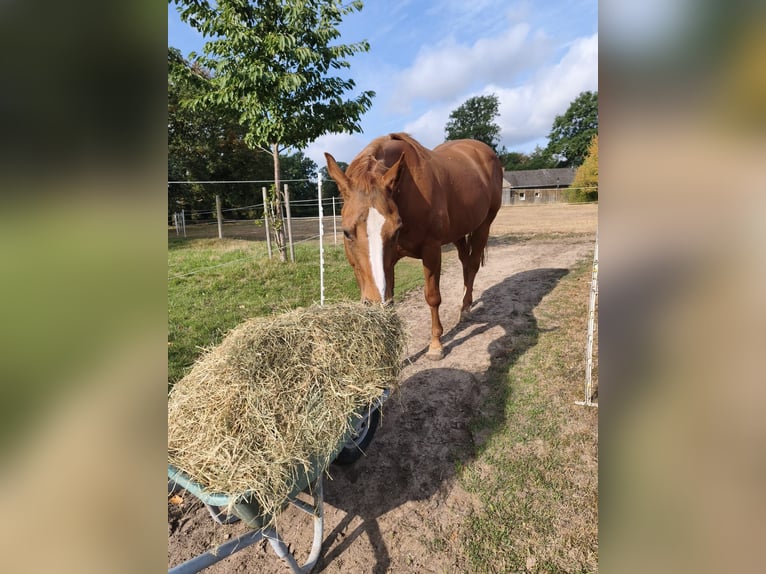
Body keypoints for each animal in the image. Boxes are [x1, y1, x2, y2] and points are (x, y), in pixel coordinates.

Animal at [325, 133, 503, 360]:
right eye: (347, 232)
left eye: (395, 230)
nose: (374, 303)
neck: (405, 190)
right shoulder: (388, 262)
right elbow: (390, 300)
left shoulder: (431, 250)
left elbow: (432, 296)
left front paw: (435, 345)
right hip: (459, 232)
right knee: (465, 263)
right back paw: (466, 304)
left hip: (483, 225)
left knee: (471, 266)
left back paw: (465, 309)